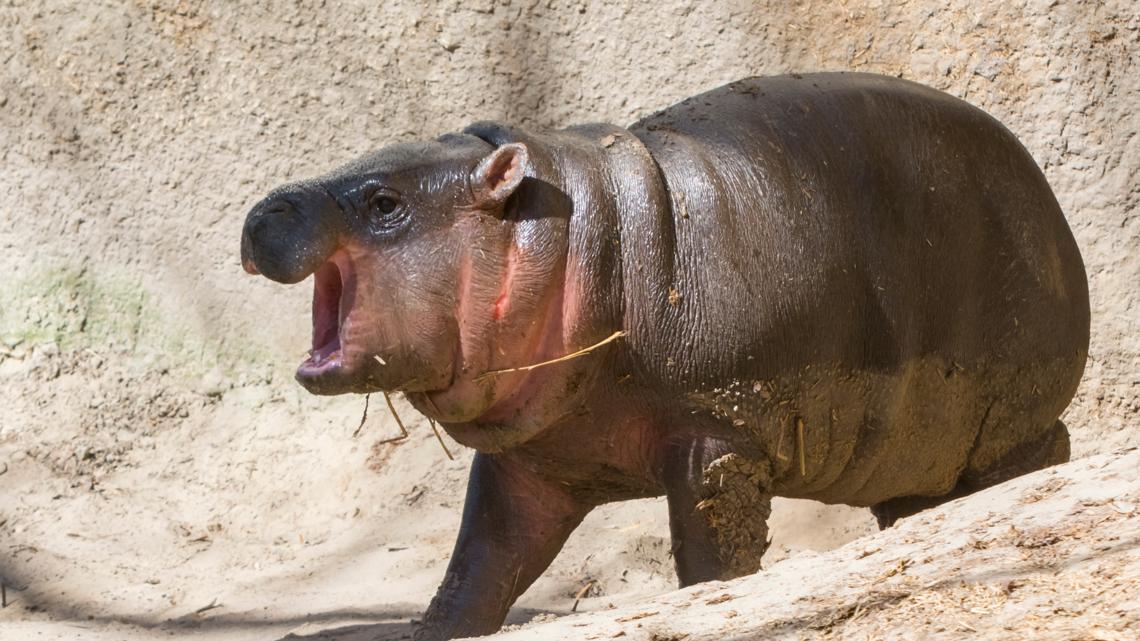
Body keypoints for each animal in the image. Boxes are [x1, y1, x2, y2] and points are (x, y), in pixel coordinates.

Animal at [238, 72, 1085, 634]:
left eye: (386, 201)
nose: (261, 210)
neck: (573, 238)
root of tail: (1052, 205)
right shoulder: (530, 464)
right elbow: (478, 564)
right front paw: (426, 627)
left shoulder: (718, 435)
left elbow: (710, 555)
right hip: (912, 451)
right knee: (917, 499)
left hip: (1009, 424)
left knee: (1042, 456)